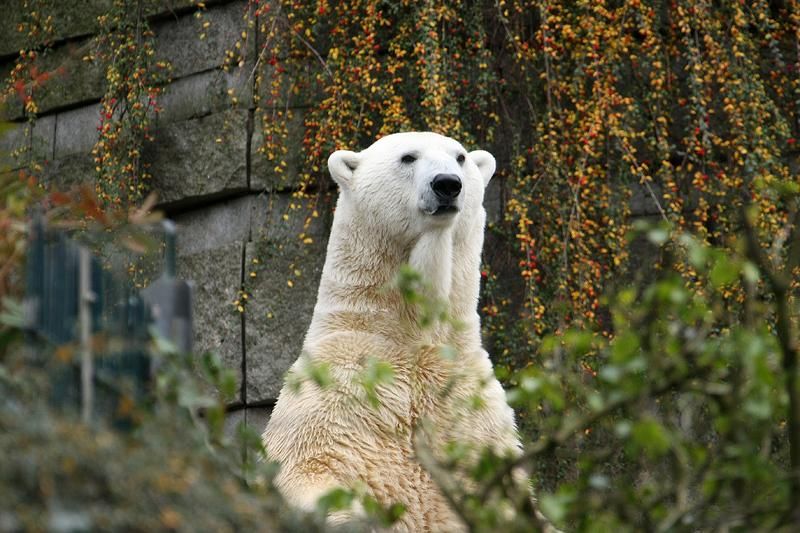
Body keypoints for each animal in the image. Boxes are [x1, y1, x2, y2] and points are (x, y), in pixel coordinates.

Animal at [262, 132, 524, 528]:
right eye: (408, 157)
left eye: (460, 157)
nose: (447, 184)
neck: (412, 335)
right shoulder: (339, 391)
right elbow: (309, 469)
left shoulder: (470, 412)